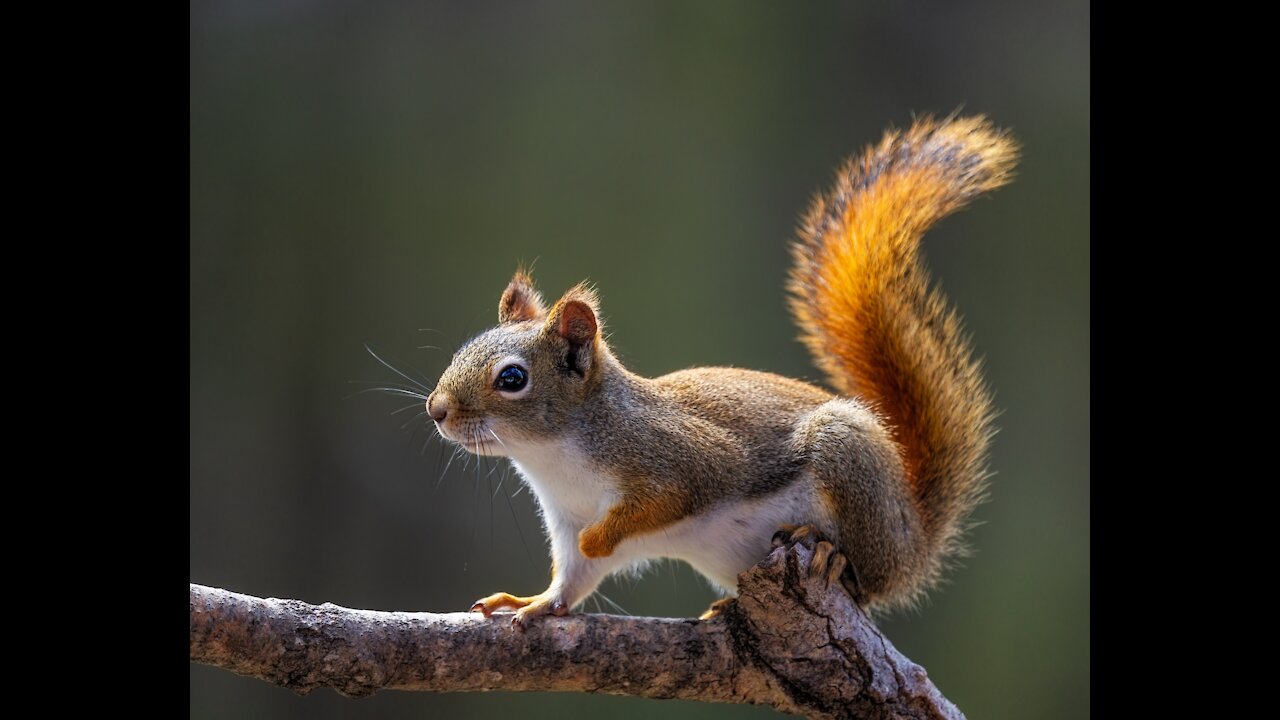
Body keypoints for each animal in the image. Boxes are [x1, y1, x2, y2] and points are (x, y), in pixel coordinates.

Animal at [424, 114, 1013, 625]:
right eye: (463, 350)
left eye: (512, 379)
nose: (437, 410)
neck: (555, 457)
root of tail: (913, 540)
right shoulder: (566, 520)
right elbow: (573, 578)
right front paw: (535, 602)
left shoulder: (681, 459)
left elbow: (660, 504)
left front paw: (600, 537)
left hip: (848, 461)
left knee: (865, 578)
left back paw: (828, 552)